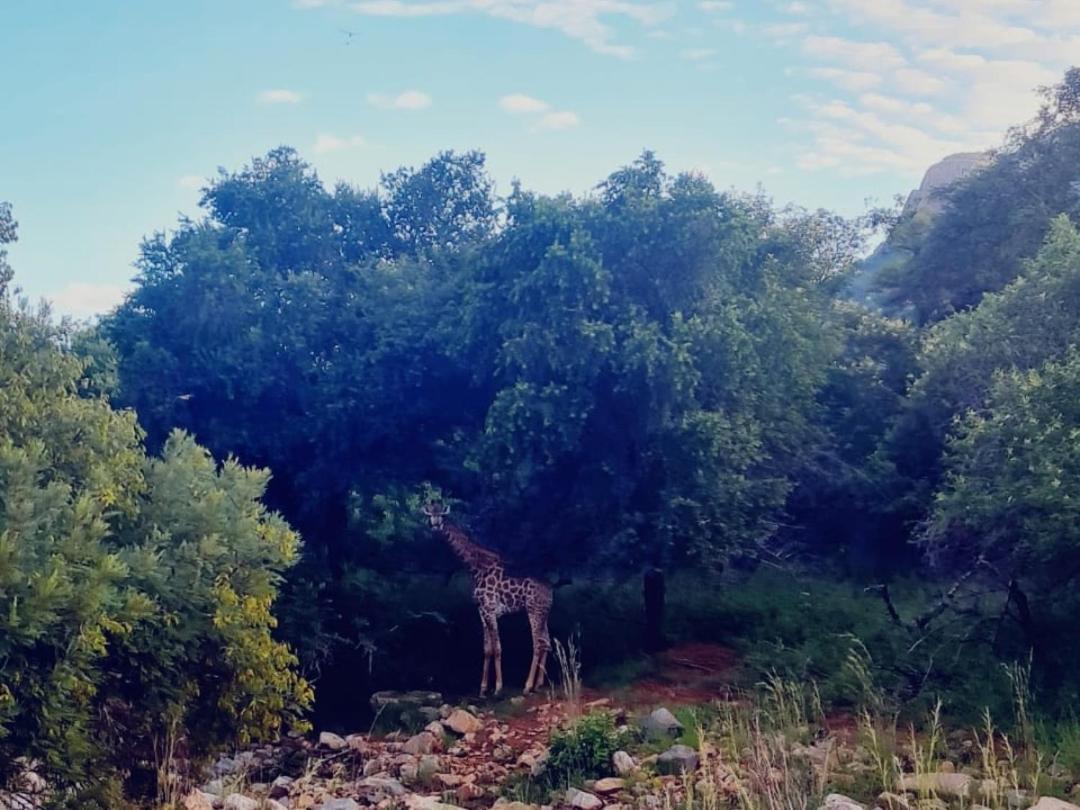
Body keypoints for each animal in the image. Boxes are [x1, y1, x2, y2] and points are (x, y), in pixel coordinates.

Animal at [421, 501, 552, 699]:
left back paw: (528, 686)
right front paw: (483, 689)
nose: (435, 526)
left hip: (534, 610)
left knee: (538, 643)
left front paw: (498, 688)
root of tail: (551, 590)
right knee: (547, 642)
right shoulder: (482, 611)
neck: (474, 567)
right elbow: (487, 649)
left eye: (442, 515)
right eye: (430, 515)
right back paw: (539, 684)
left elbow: (497, 648)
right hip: (543, 613)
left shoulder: (490, 609)